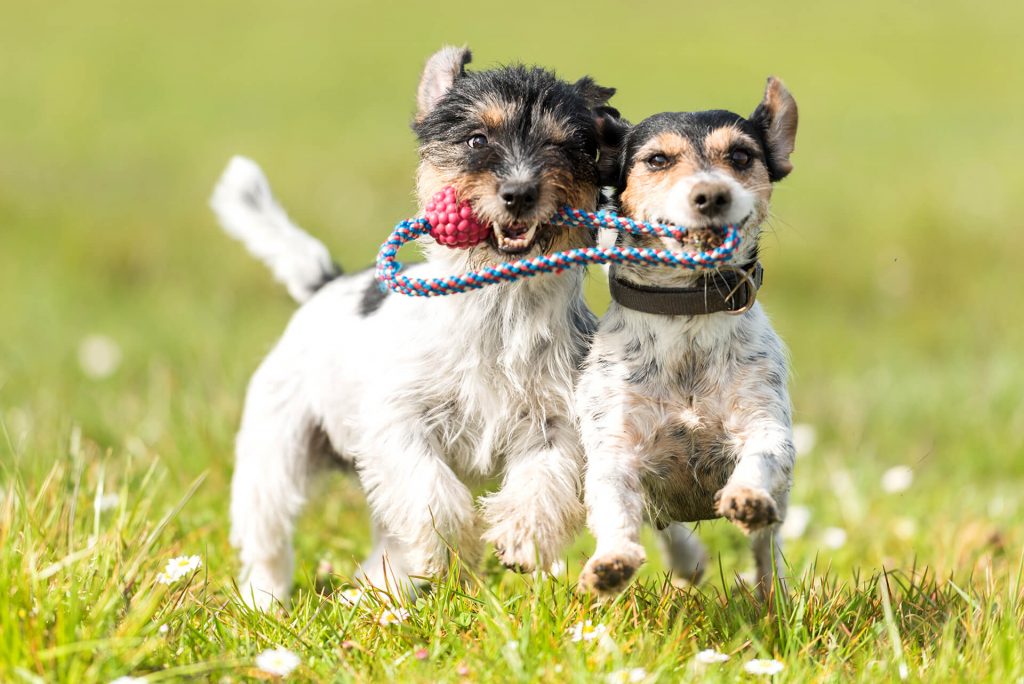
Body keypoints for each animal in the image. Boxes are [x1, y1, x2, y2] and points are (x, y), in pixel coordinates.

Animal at [210, 45, 618, 606]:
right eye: (476, 139)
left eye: (565, 146)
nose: (519, 192)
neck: (499, 303)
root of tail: (325, 284)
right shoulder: (397, 421)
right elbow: (431, 492)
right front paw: (453, 548)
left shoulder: (556, 420)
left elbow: (544, 481)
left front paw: (520, 536)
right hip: (276, 449)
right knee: (267, 532)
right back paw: (264, 601)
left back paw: (376, 591)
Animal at [577, 77, 798, 593]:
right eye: (657, 159)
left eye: (740, 155)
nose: (712, 194)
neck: (687, 312)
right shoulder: (615, 448)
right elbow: (615, 507)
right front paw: (612, 560)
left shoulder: (766, 423)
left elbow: (762, 455)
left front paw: (746, 496)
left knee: (767, 548)